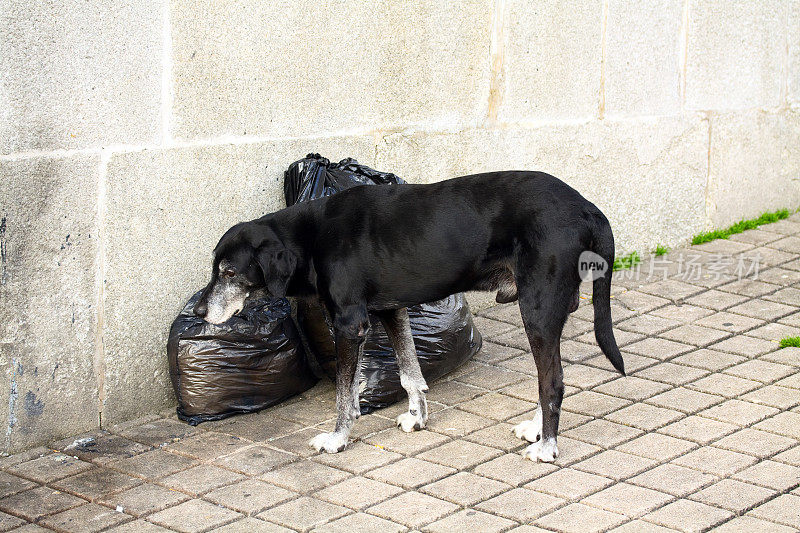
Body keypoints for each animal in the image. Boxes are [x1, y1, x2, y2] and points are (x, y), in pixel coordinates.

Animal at [194, 171, 624, 462]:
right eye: (216, 268)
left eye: (229, 273)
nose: (199, 311)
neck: (310, 237)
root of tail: (588, 208)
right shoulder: (391, 311)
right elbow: (409, 372)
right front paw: (417, 418)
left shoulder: (350, 324)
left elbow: (344, 395)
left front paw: (337, 438)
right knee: (548, 376)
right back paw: (537, 430)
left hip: (537, 310)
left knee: (552, 382)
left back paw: (547, 446)